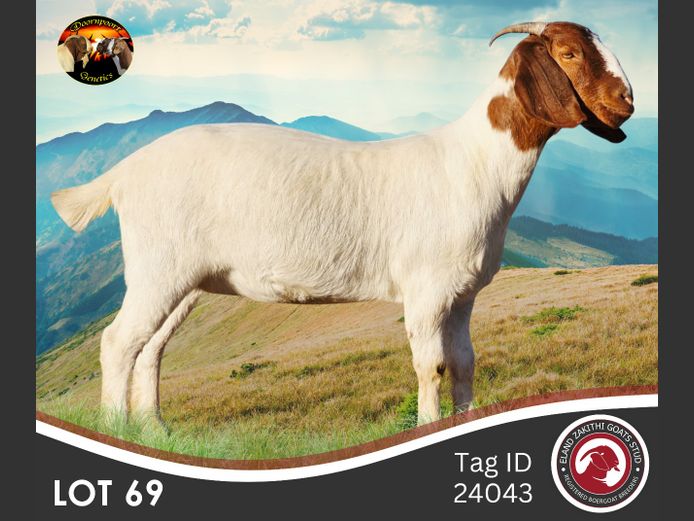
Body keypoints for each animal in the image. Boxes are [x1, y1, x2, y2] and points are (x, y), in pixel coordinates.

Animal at [51, 21, 633, 428]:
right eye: (569, 52)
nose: (627, 101)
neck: (474, 162)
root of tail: (124, 171)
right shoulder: (424, 290)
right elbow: (431, 366)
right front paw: (427, 426)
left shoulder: (463, 294)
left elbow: (466, 363)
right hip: (158, 268)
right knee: (118, 342)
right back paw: (118, 430)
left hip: (183, 280)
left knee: (151, 348)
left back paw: (156, 429)